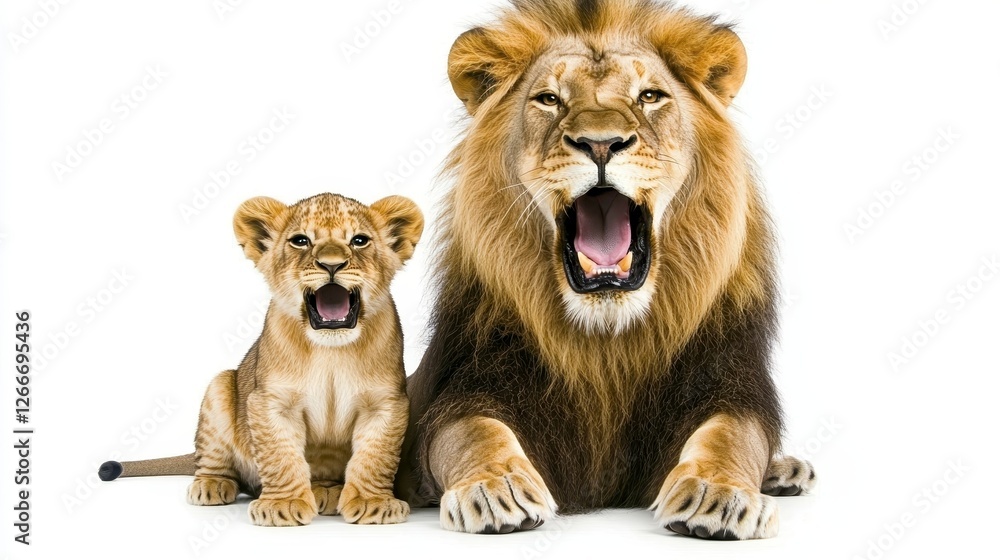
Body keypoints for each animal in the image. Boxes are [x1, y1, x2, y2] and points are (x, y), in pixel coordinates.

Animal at [99, 192, 423, 527]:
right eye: (300, 241)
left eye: (359, 240)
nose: (331, 264)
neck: (331, 351)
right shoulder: (270, 401)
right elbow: (280, 456)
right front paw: (284, 504)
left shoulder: (385, 403)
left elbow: (376, 457)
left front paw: (373, 502)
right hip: (220, 385)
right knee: (213, 459)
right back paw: (212, 485)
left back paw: (326, 490)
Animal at [396, 0, 815, 539]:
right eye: (549, 99)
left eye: (650, 96)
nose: (600, 143)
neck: (606, 343)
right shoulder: (467, 387)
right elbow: (473, 432)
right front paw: (495, 486)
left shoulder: (727, 381)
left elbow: (731, 435)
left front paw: (717, 493)